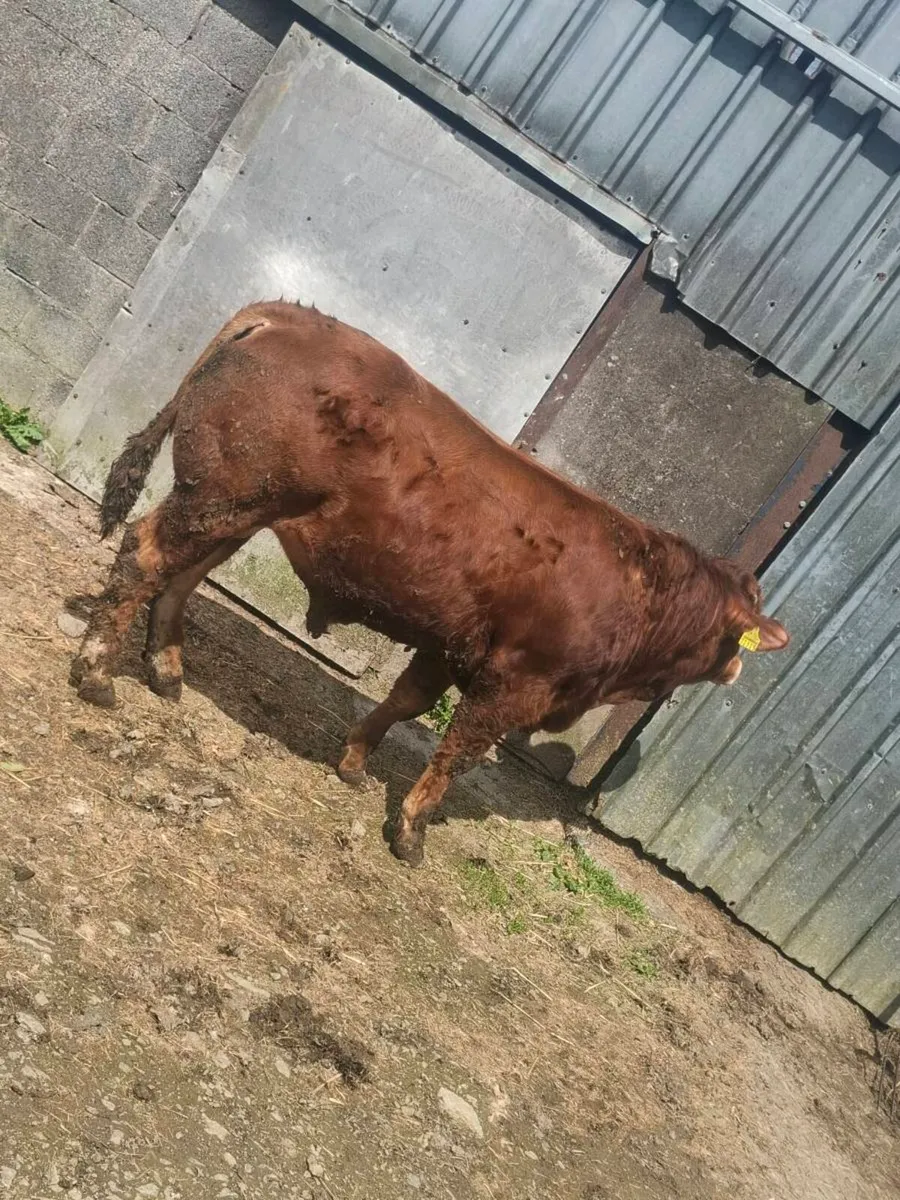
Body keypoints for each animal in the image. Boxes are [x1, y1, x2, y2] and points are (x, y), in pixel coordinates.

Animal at [71, 301, 789, 866]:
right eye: (738, 635)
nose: (736, 673)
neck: (642, 589)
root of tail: (285, 315)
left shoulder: (450, 643)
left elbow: (404, 703)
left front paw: (354, 761)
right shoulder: (516, 681)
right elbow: (457, 754)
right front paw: (412, 829)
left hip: (242, 509)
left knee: (182, 578)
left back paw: (165, 669)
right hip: (221, 498)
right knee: (144, 555)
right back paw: (97, 673)